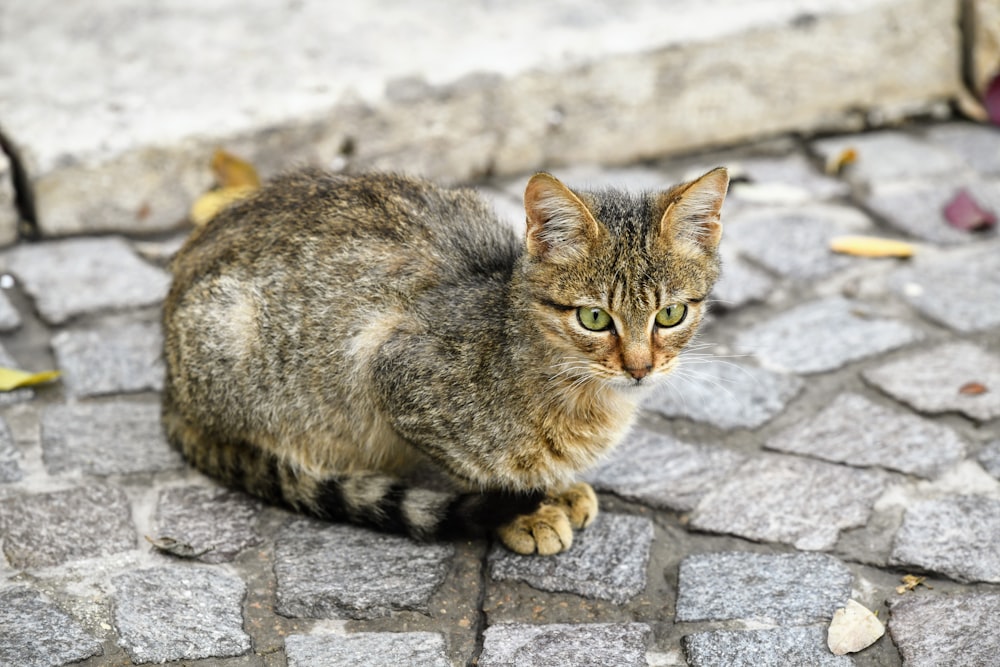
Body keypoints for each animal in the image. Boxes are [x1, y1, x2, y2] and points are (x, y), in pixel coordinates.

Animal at [162, 167, 728, 560]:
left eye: (671, 314)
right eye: (594, 318)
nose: (640, 368)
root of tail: (169, 384)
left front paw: (555, 488)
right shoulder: (389, 372)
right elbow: (474, 469)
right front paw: (523, 511)